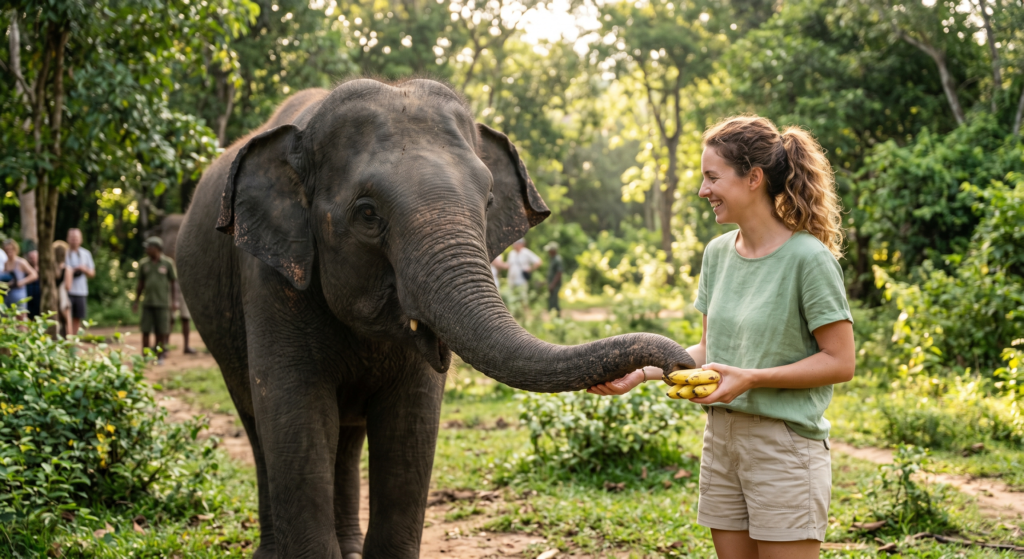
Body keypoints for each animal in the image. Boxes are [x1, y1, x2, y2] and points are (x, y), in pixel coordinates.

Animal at [175, 78, 694, 559]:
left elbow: (412, 426)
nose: (684, 367)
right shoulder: (269, 280)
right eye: (367, 213)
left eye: (488, 201)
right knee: (258, 427)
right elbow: (294, 419)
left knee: (348, 436)